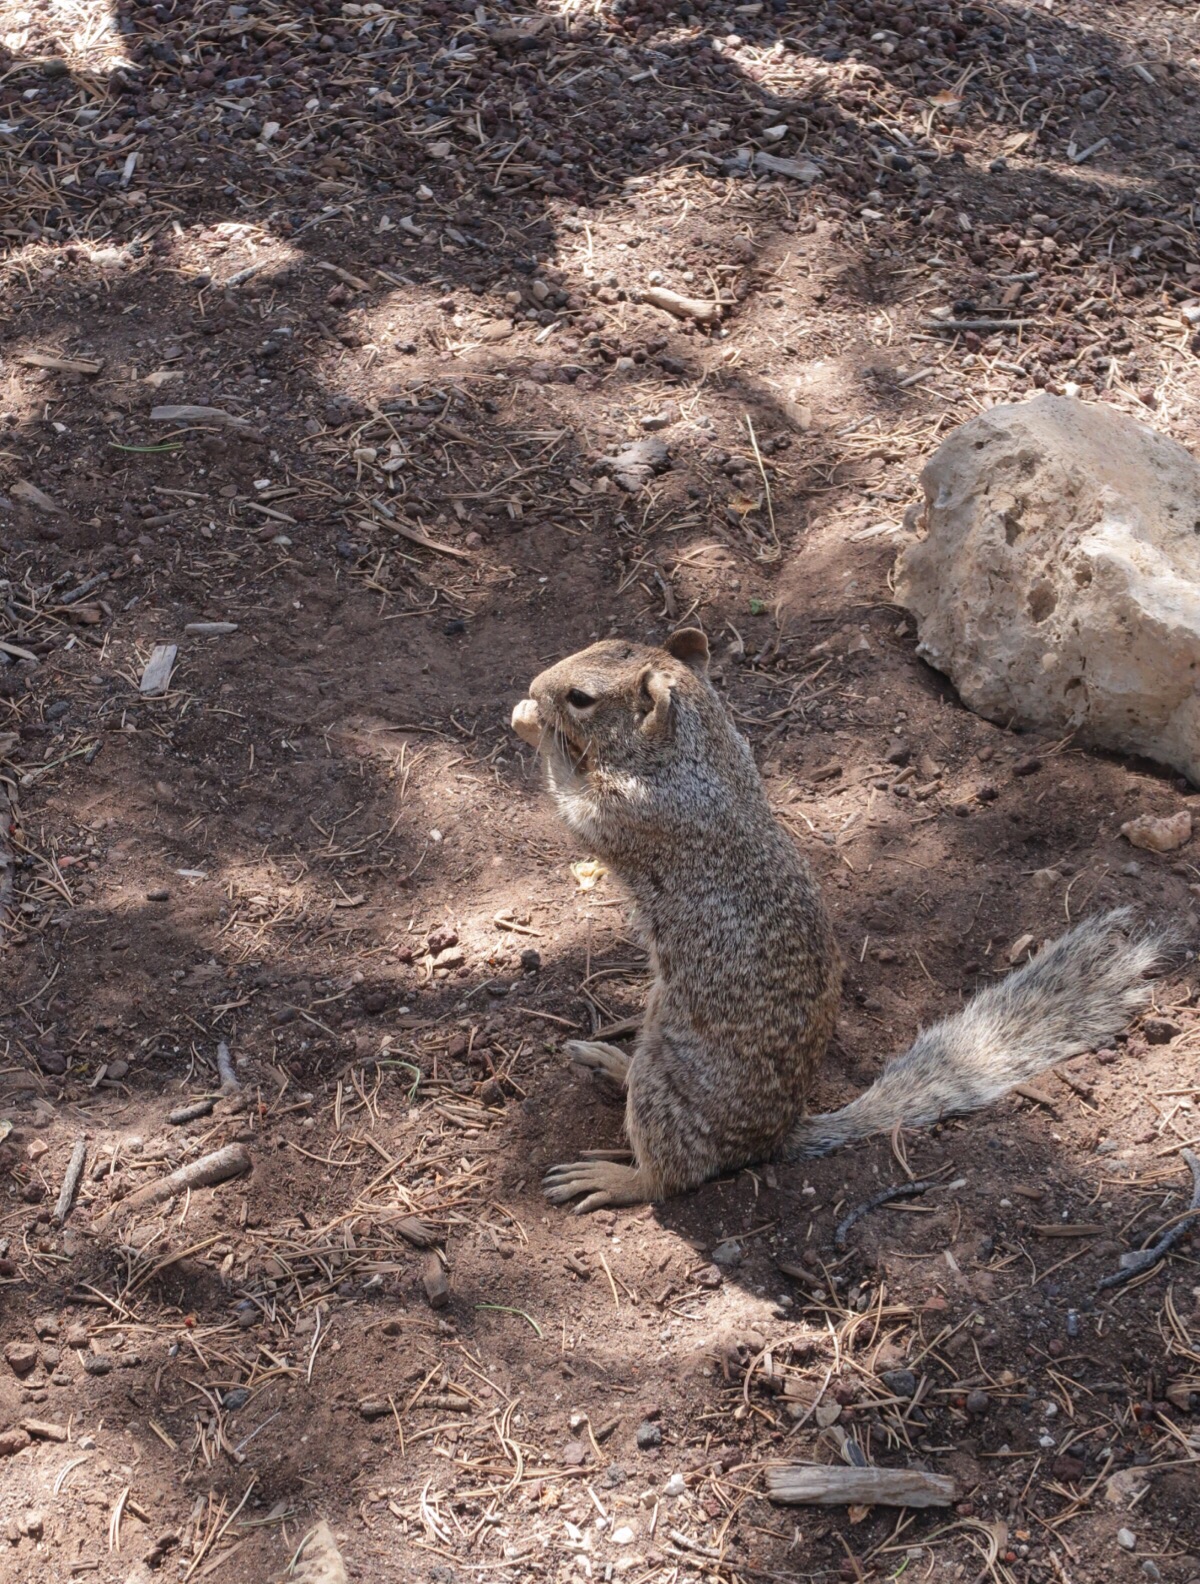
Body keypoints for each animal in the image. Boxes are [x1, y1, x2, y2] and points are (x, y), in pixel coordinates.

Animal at [509, 624, 1177, 1203]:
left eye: (581, 698)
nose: (535, 685)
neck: (700, 753)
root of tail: (775, 1138)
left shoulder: (637, 817)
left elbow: (576, 809)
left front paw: (535, 730)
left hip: (670, 1086)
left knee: (676, 1174)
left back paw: (616, 1177)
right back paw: (612, 1062)